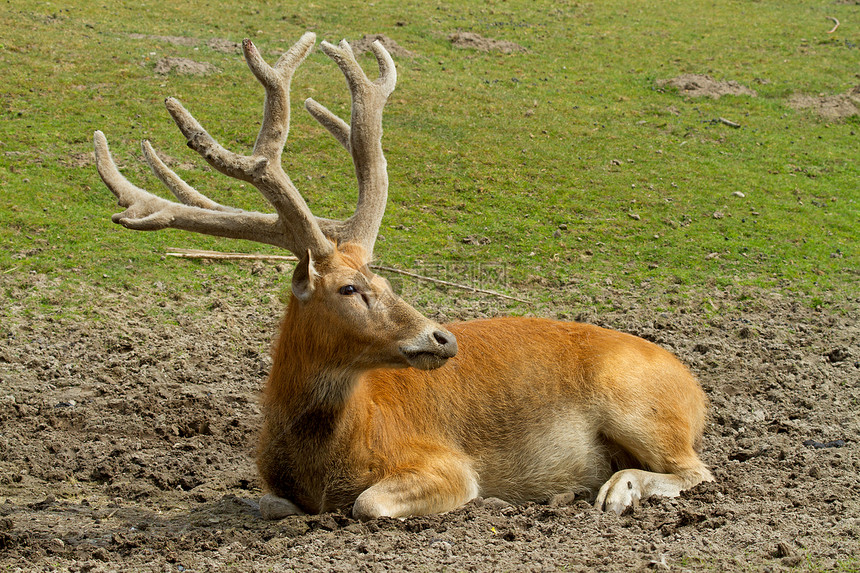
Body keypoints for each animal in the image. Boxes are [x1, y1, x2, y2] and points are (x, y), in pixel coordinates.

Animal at [92, 31, 712, 520]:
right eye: (351, 287)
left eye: (386, 280)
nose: (443, 338)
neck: (325, 461)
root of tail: (696, 387)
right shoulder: (273, 485)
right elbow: (266, 503)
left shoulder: (446, 463)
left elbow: (369, 503)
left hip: (639, 406)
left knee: (698, 470)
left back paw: (616, 490)